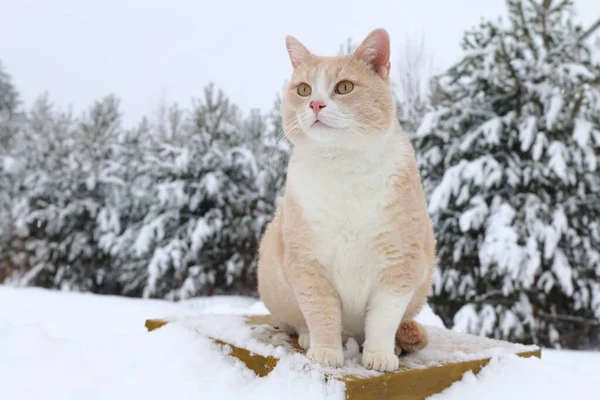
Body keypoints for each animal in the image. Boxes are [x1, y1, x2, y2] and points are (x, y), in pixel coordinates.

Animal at [255, 28, 434, 372]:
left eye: (345, 87)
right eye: (303, 89)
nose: (315, 104)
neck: (342, 166)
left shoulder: (400, 263)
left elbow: (383, 317)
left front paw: (379, 355)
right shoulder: (307, 261)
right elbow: (320, 311)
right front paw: (326, 351)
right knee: (298, 321)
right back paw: (308, 337)